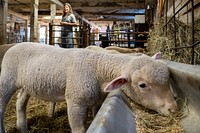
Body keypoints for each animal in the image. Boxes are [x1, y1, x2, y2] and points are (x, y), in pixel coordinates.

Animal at [0, 42, 178, 133]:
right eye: (142, 85)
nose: (173, 109)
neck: (98, 67)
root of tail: (15, 45)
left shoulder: (97, 101)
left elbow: (94, 116)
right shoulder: (75, 101)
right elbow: (78, 128)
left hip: (27, 84)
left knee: (20, 102)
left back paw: (23, 127)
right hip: (6, 80)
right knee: (2, 106)